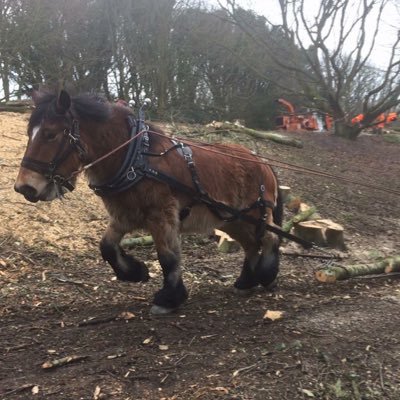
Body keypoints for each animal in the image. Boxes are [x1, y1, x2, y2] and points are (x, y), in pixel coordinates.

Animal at [14, 90, 282, 316]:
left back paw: (267, 274)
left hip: (255, 214)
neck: (135, 157)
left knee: (270, 237)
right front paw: (135, 272)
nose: (24, 187)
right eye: (29, 134)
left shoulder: (161, 215)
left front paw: (169, 298)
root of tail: (262, 162)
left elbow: (167, 257)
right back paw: (246, 281)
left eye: (50, 134)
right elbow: (106, 246)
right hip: (230, 220)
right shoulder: (124, 215)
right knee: (251, 244)